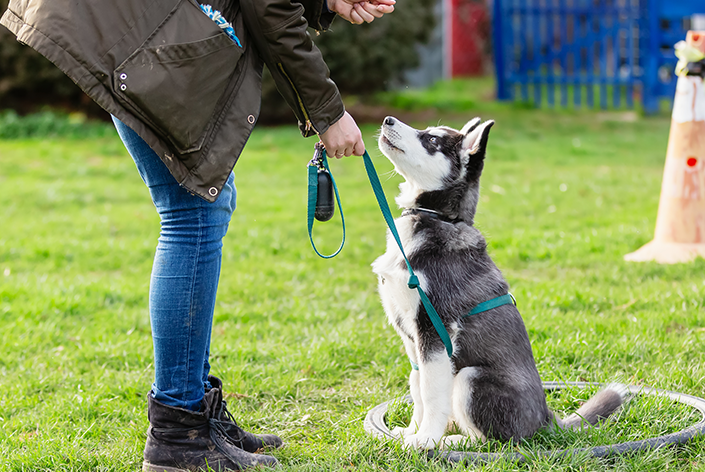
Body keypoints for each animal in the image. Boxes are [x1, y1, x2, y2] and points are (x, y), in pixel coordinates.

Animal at [372, 117, 624, 450]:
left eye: (432, 140)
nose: (387, 120)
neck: (439, 218)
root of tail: (546, 419)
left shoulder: (436, 331)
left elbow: (431, 393)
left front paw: (425, 440)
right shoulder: (412, 339)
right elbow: (417, 388)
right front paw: (412, 431)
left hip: (470, 377)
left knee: (497, 442)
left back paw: (454, 442)